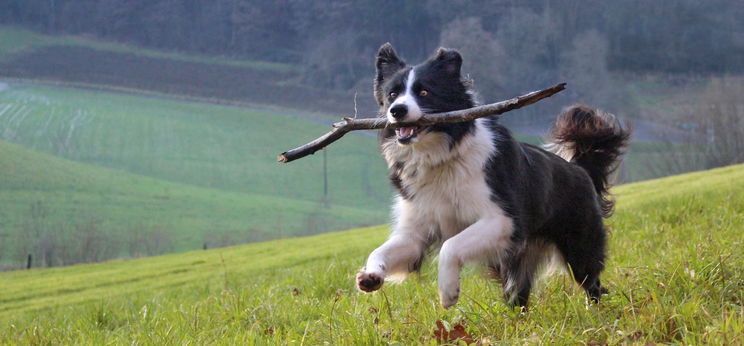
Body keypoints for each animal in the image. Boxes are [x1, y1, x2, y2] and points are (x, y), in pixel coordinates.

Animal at [358, 42, 632, 308]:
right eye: (392, 94)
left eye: (424, 92)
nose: (397, 111)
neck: (442, 156)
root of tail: (579, 168)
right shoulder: (416, 231)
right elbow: (379, 251)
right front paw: (369, 276)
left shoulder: (503, 220)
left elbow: (450, 245)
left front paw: (447, 292)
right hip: (518, 260)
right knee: (518, 295)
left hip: (577, 242)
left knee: (592, 282)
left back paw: (594, 313)